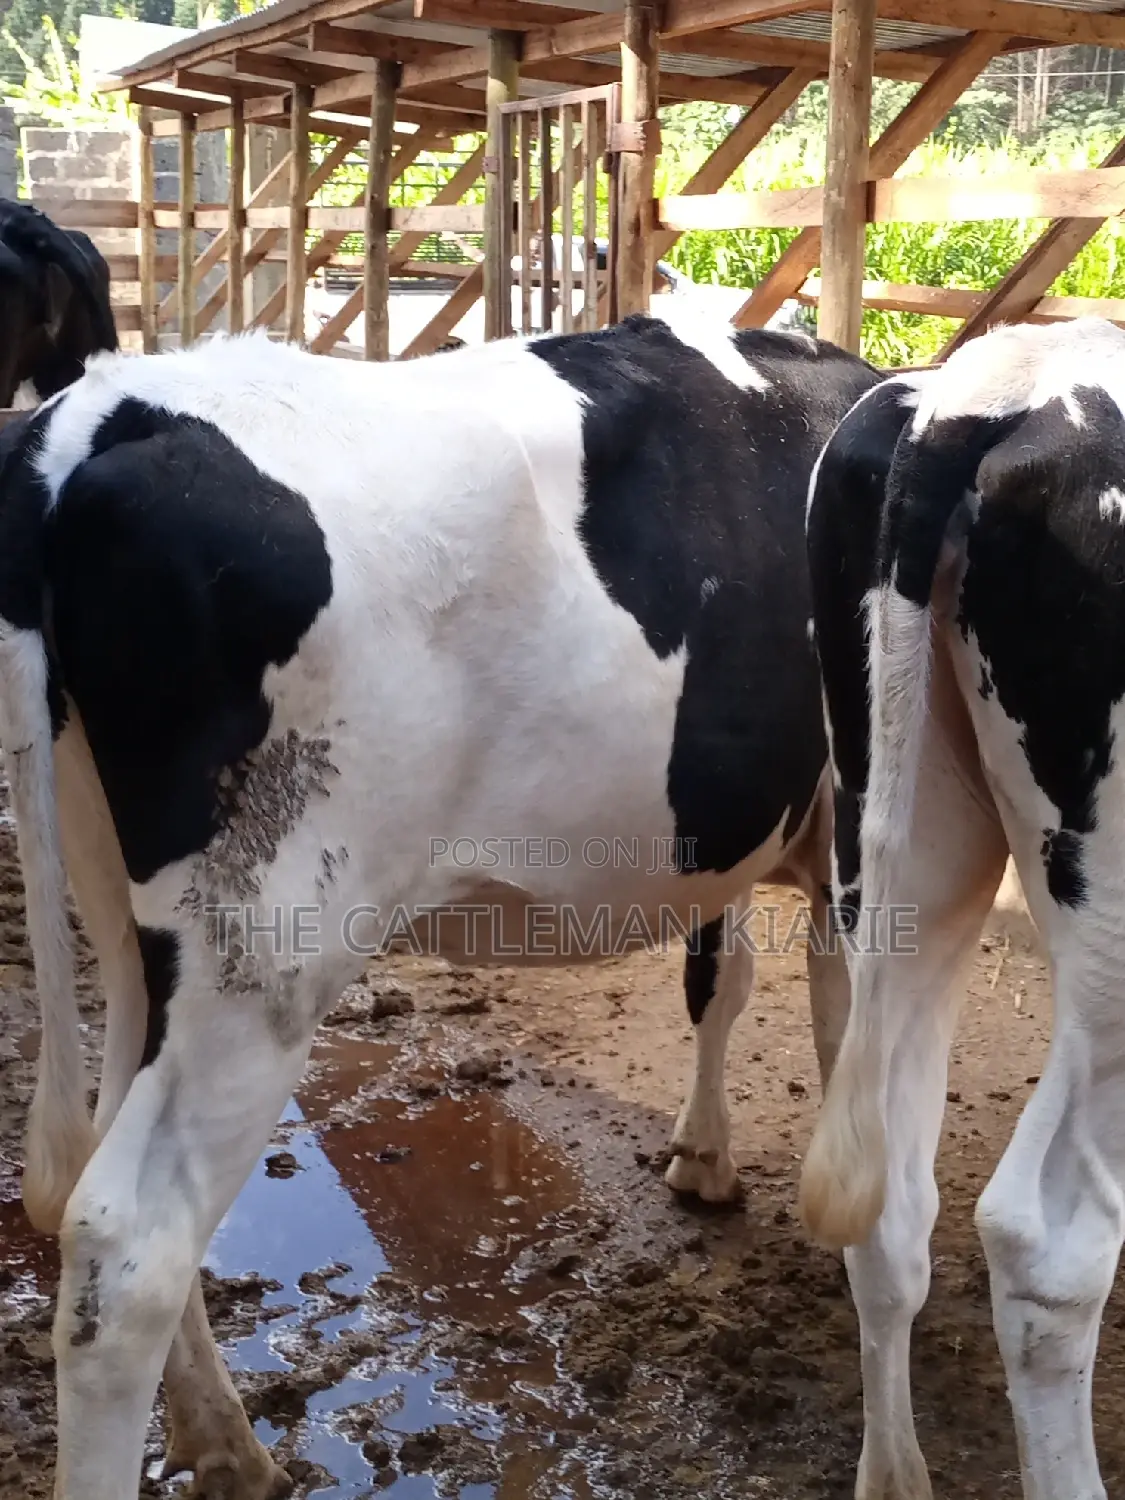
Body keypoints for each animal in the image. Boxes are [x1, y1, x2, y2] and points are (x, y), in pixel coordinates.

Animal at [0, 308, 878, 1497]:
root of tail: (94, 413)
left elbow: (721, 980)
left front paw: (702, 1156)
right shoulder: (842, 833)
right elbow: (824, 1024)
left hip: (128, 914)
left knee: (94, 1168)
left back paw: (224, 1443)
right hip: (264, 952)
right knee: (127, 1246)